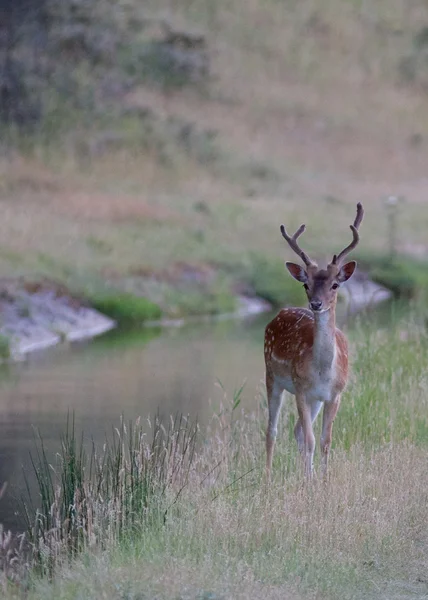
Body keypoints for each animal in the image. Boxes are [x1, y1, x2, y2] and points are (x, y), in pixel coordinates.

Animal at [266, 204, 362, 480]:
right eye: (306, 285)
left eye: (335, 284)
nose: (316, 304)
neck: (322, 372)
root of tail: (278, 313)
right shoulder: (300, 389)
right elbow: (310, 439)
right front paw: (311, 482)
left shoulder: (334, 394)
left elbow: (324, 440)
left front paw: (322, 481)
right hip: (272, 376)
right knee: (272, 431)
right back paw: (267, 478)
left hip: (314, 400)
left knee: (296, 431)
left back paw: (304, 475)